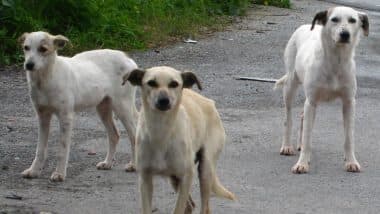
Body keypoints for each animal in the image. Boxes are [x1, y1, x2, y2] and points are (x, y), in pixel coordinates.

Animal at [17, 31, 139, 181]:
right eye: (26, 48)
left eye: (43, 49)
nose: (28, 65)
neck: (47, 78)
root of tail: (128, 59)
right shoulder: (42, 116)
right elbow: (40, 149)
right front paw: (33, 171)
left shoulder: (66, 117)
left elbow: (62, 149)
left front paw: (59, 173)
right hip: (103, 108)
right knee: (114, 135)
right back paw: (107, 163)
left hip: (122, 107)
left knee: (134, 136)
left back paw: (133, 165)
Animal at [122, 66, 235, 214]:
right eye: (151, 83)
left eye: (174, 84)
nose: (164, 100)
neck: (161, 130)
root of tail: (209, 102)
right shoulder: (145, 179)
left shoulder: (186, 177)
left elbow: (178, 209)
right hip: (174, 178)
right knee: (190, 205)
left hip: (205, 171)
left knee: (204, 208)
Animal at [276, 6, 368, 174]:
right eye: (334, 19)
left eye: (353, 20)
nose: (345, 34)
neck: (336, 61)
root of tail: (305, 26)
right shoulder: (311, 101)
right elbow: (307, 138)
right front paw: (302, 164)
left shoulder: (349, 103)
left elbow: (349, 138)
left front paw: (351, 161)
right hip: (291, 86)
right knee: (289, 118)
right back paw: (287, 146)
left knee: (302, 116)